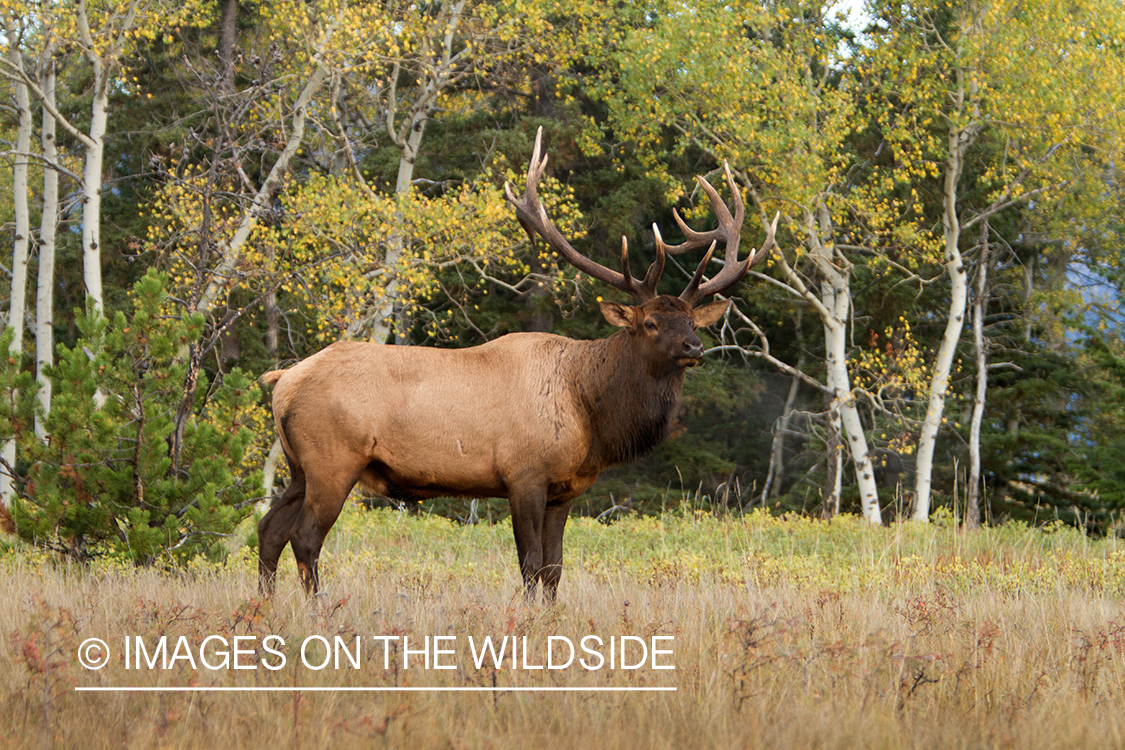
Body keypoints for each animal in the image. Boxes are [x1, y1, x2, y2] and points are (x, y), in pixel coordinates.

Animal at [258, 127, 778, 598]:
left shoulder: (565, 489)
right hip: (333, 459)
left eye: (691, 320)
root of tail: (283, 379)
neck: (590, 413)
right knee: (305, 537)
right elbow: (529, 564)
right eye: (650, 323)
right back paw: (318, 611)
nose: (694, 348)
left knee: (268, 529)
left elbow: (554, 569)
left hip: (299, 466)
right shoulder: (523, 474)